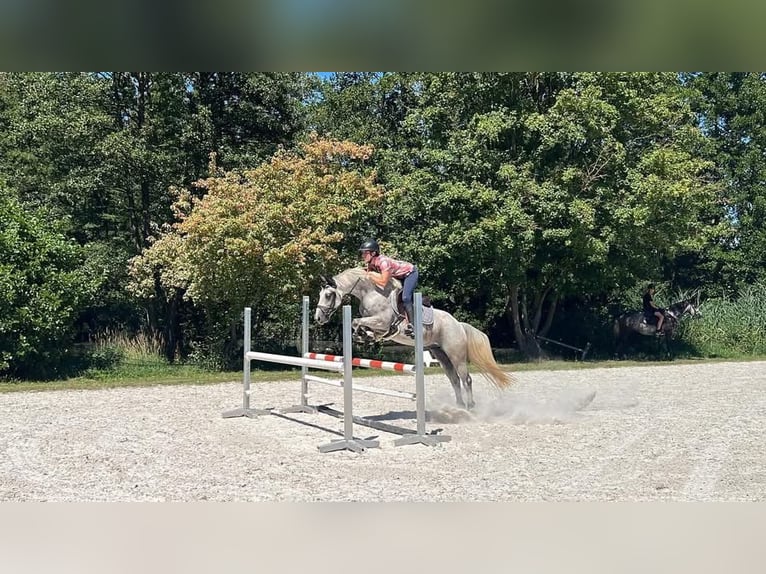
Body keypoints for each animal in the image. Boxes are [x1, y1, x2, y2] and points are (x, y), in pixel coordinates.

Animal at [313, 267, 515, 410]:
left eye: (328, 295)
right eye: (320, 294)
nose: (318, 318)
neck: (371, 293)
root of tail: (458, 324)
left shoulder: (384, 322)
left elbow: (356, 321)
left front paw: (363, 336)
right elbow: (359, 323)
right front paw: (365, 336)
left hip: (456, 354)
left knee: (466, 379)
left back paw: (471, 406)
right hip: (441, 354)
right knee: (454, 379)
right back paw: (459, 406)